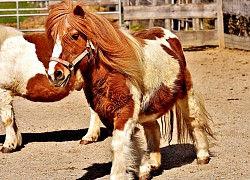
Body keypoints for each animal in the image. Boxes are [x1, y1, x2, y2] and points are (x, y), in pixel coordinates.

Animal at [46, 1, 214, 179]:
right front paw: (144, 170)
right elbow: (132, 142)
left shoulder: (125, 111)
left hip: (185, 94)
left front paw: (118, 174)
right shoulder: (108, 115)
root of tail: (168, 34)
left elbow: (118, 145)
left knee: (194, 120)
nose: (54, 74)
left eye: (75, 35)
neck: (112, 73)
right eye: (53, 38)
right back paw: (154, 163)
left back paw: (202, 155)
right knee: (153, 129)